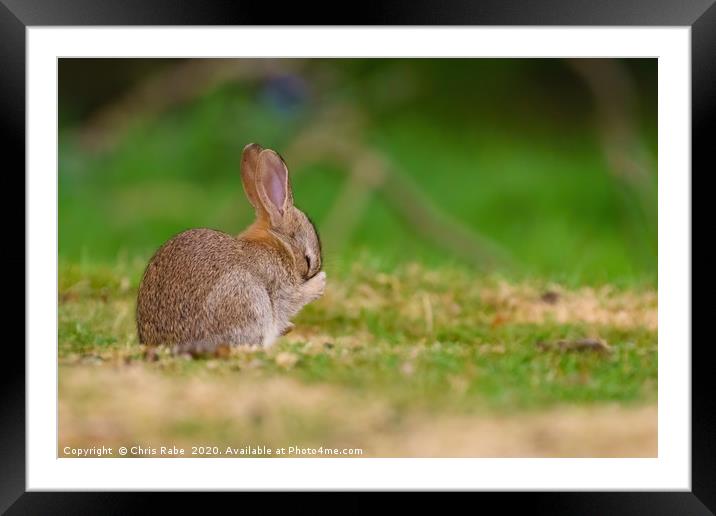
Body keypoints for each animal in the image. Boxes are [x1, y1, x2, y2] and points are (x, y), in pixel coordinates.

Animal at [136, 143, 326, 356]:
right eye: (308, 260)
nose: (315, 272)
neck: (278, 246)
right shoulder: (279, 287)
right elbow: (293, 298)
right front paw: (320, 283)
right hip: (246, 297)